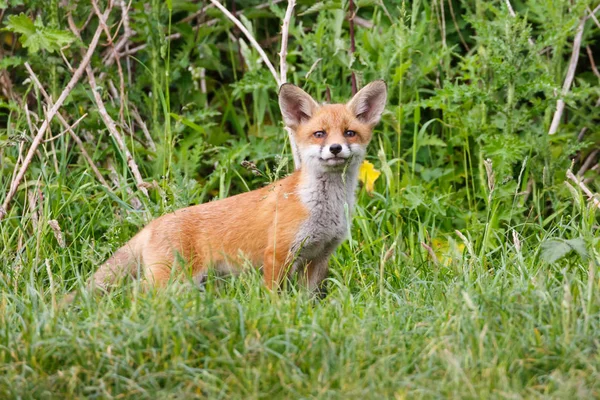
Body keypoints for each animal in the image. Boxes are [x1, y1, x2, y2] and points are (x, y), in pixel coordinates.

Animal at [71, 79, 390, 298]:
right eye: (319, 134)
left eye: (349, 133)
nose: (335, 148)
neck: (323, 209)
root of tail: (152, 224)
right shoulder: (278, 254)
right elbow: (274, 299)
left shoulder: (319, 257)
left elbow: (307, 300)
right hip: (171, 282)